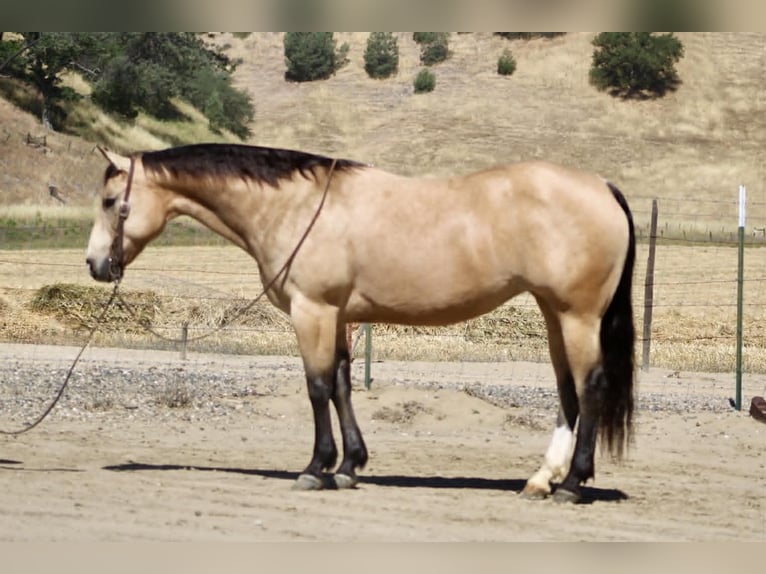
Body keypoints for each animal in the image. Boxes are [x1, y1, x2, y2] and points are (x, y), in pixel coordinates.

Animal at [86, 143, 635, 503]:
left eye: (111, 202)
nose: (94, 264)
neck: (298, 206)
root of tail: (602, 187)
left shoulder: (312, 310)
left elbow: (316, 386)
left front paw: (316, 468)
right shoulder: (339, 316)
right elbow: (342, 386)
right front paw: (349, 466)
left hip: (577, 316)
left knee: (590, 386)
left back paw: (571, 484)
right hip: (553, 313)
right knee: (566, 391)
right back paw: (542, 479)